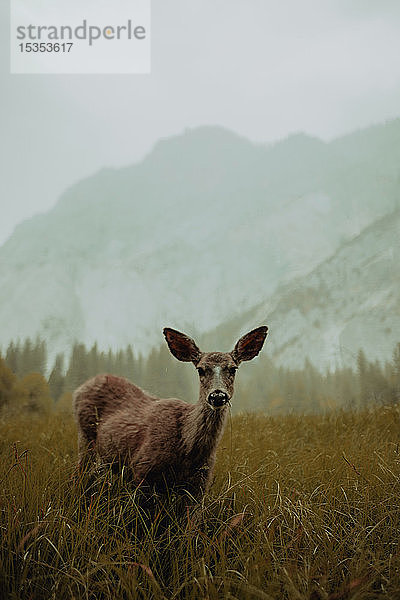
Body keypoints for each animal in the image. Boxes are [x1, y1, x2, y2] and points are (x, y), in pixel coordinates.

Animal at [73, 326, 268, 504]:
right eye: (200, 369)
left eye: (233, 369)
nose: (218, 395)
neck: (187, 449)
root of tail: (82, 386)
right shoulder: (141, 469)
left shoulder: (200, 483)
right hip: (86, 437)